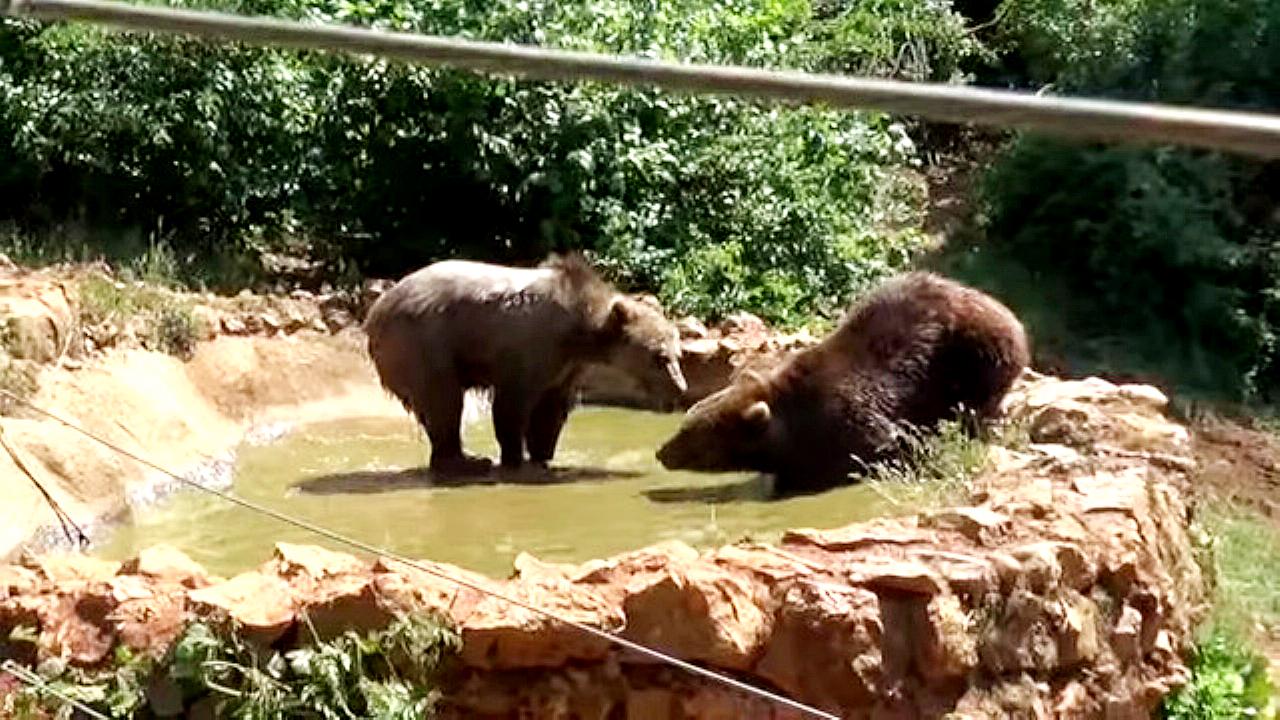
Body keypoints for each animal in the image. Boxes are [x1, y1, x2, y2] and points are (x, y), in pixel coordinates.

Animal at [364, 253, 688, 475]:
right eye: (660, 357)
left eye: (678, 354)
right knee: (443, 399)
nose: (680, 388)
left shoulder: (566, 365)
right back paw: (466, 460)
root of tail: (374, 314)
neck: (580, 330)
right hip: (423, 343)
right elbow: (512, 404)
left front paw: (543, 453)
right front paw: (515, 457)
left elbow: (550, 408)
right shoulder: (530, 347)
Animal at [655, 271, 1029, 494]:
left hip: (976, 354)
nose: (661, 452)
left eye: (691, 433)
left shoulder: (851, 423)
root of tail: (1006, 311)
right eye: (687, 421)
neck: (792, 424)